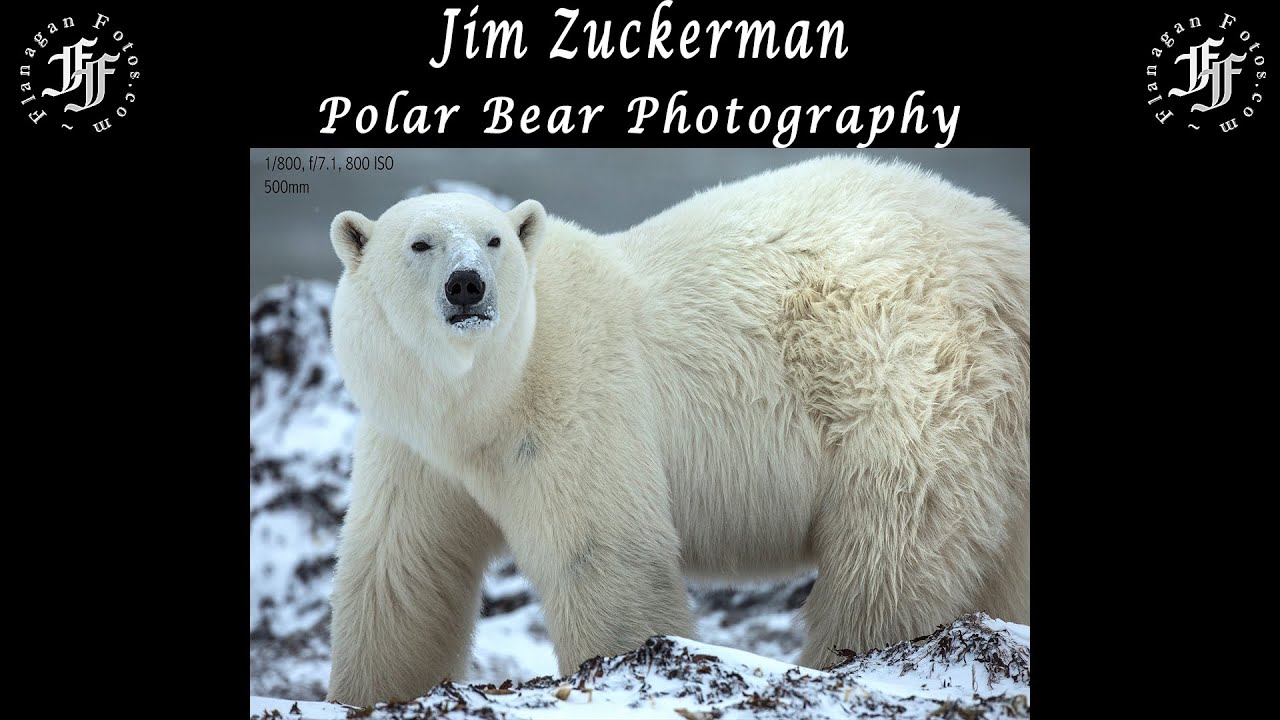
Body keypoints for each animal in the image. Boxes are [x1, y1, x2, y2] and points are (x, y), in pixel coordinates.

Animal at [324, 156, 1030, 706]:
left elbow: (605, 555)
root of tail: (1006, 253)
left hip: (906, 378)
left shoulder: (575, 396)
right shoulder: (410, 442)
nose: (467, 286)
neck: (480, 398)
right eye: (420, 243)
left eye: (494, 240)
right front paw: (365, 696)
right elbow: (397, 571)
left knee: (892, 546)